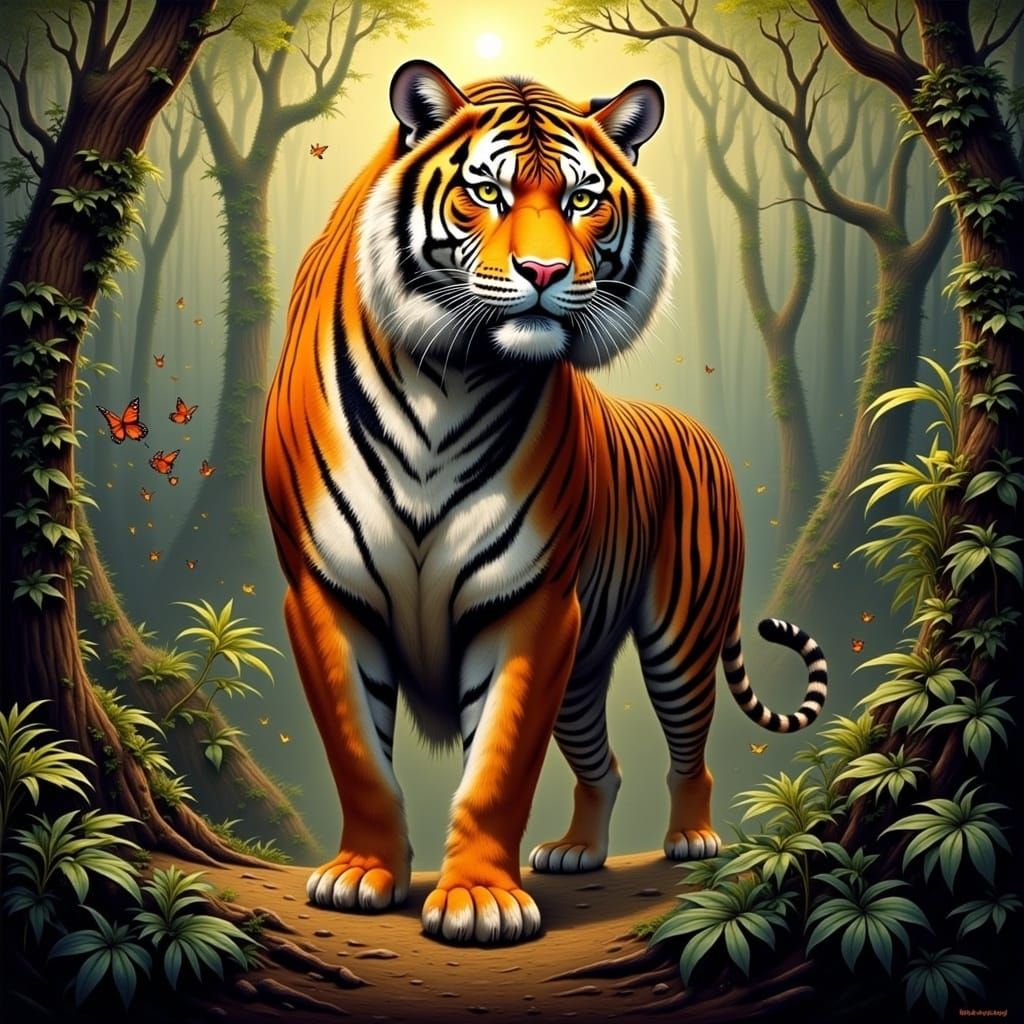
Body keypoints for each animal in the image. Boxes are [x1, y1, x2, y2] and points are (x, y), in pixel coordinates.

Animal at [261, 60, 828, 946]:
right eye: (486, 192)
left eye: (583, 198)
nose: (545, 275)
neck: (447, 378)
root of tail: (693, 428)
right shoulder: (327, 591)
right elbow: (358, 756)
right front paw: (361, 875)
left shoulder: (529, 602)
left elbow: (498, 762)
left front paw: (477, 900)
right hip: (586, 668)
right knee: (606, 763)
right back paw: (577, 851)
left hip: (678, 636)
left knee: (690, 750)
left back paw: (692, 840)